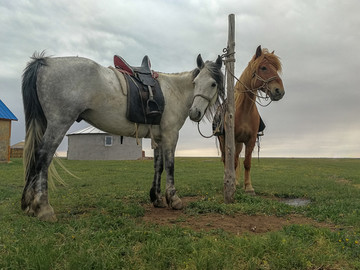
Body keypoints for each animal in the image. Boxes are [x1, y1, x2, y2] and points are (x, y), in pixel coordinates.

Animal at [21, 52, 224, 221]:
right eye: (195, 83)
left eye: (213, 84)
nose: (195, 113)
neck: (174, 91)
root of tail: (44, 62)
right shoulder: (170, 135)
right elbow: (170, 166)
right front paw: (173, 199)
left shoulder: (158, 138)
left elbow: (158, 167)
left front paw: (157, 198)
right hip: (59, 123)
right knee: (43, 157)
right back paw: (43, 208)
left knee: (34, 156)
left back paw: (29, 205)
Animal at [217, 46, 284, 194]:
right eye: (263, 67)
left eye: (276, 69)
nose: (280, 91)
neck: (245, 110)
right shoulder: (232, 138)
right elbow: (232, 162)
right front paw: (232, 184)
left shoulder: (251, 139)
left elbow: (246, 163)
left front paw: (248, 187)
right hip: (223, 140)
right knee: (226, 159)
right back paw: (228, 179)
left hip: (239, 144)